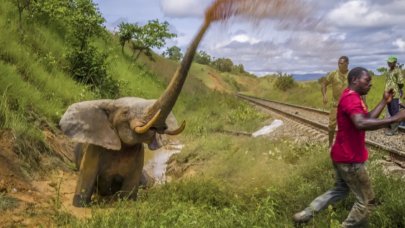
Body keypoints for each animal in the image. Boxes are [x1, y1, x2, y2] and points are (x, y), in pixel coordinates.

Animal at [60, 14, 213, 207]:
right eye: (125, 113)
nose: (210, 16)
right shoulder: (94, 150)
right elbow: (84, 189)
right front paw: (83, 203)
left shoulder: (138, 156)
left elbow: (129, 194)